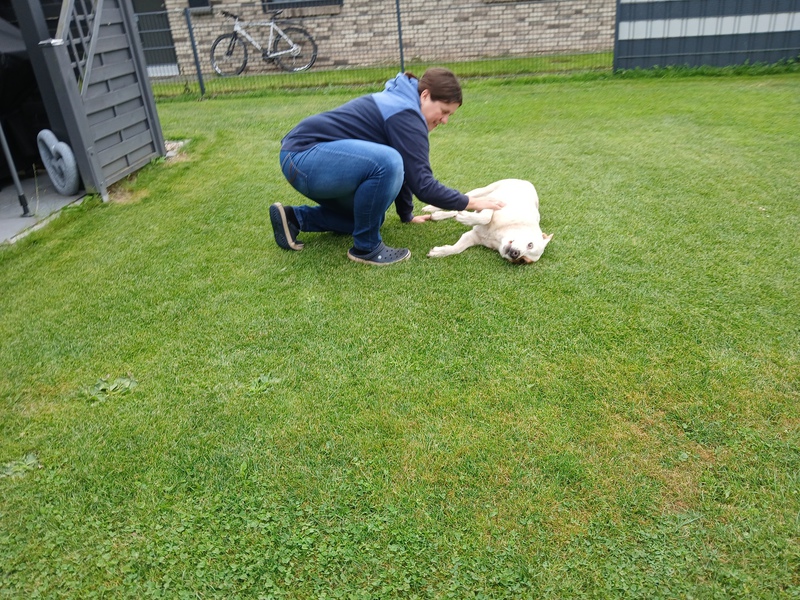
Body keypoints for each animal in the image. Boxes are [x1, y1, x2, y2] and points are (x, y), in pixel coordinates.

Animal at [423, 179, 553, 264]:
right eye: (530, 245)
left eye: (523, 260)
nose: (515, 254)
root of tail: (527, 182)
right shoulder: (495, 202)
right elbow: (486, 217)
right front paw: (466, 218)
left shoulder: (472, 237)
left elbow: (457, 248)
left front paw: (439, 252)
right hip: (482, 191)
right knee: (463, 199)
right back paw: (433, 209)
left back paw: (439, 215)